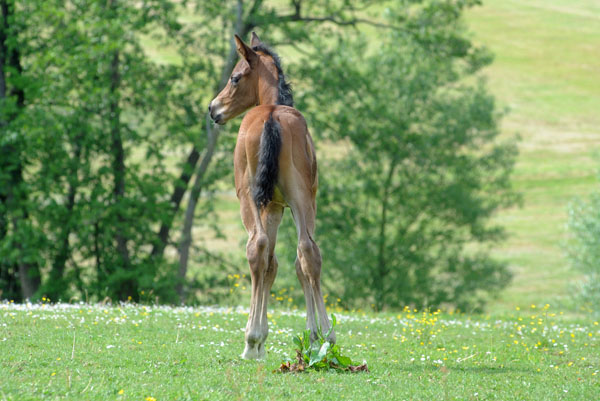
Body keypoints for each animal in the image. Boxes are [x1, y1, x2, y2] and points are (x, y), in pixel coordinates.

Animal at [210, 33, 332, 360]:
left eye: (235, 77)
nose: (213, 108)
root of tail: (272, 118)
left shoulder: (269, 206)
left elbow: (269, 262)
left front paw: (260, 339)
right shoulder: (278, 206)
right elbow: (278, 264)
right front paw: (310, 336)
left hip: (250, 198)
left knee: (258, 246)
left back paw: (251, 342)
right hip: (303, 199)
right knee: (308, 251)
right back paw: (327, 337)